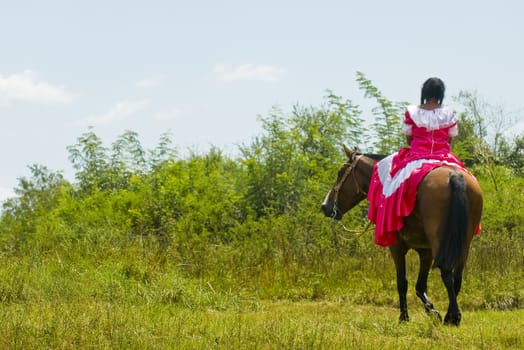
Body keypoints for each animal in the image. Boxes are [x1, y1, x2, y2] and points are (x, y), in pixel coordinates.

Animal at [322, 146, 486, 326]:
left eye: (340, 173)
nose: (325, 206)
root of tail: (454, 176)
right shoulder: (426, 252)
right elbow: (420, 286)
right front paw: (432, 310)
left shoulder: (396, 247)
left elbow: (402, 283)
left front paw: (404, 317)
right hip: (464, 244)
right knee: (456, 277)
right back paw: (450, 315)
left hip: (440, 243)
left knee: (447, 273)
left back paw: (453, 317)